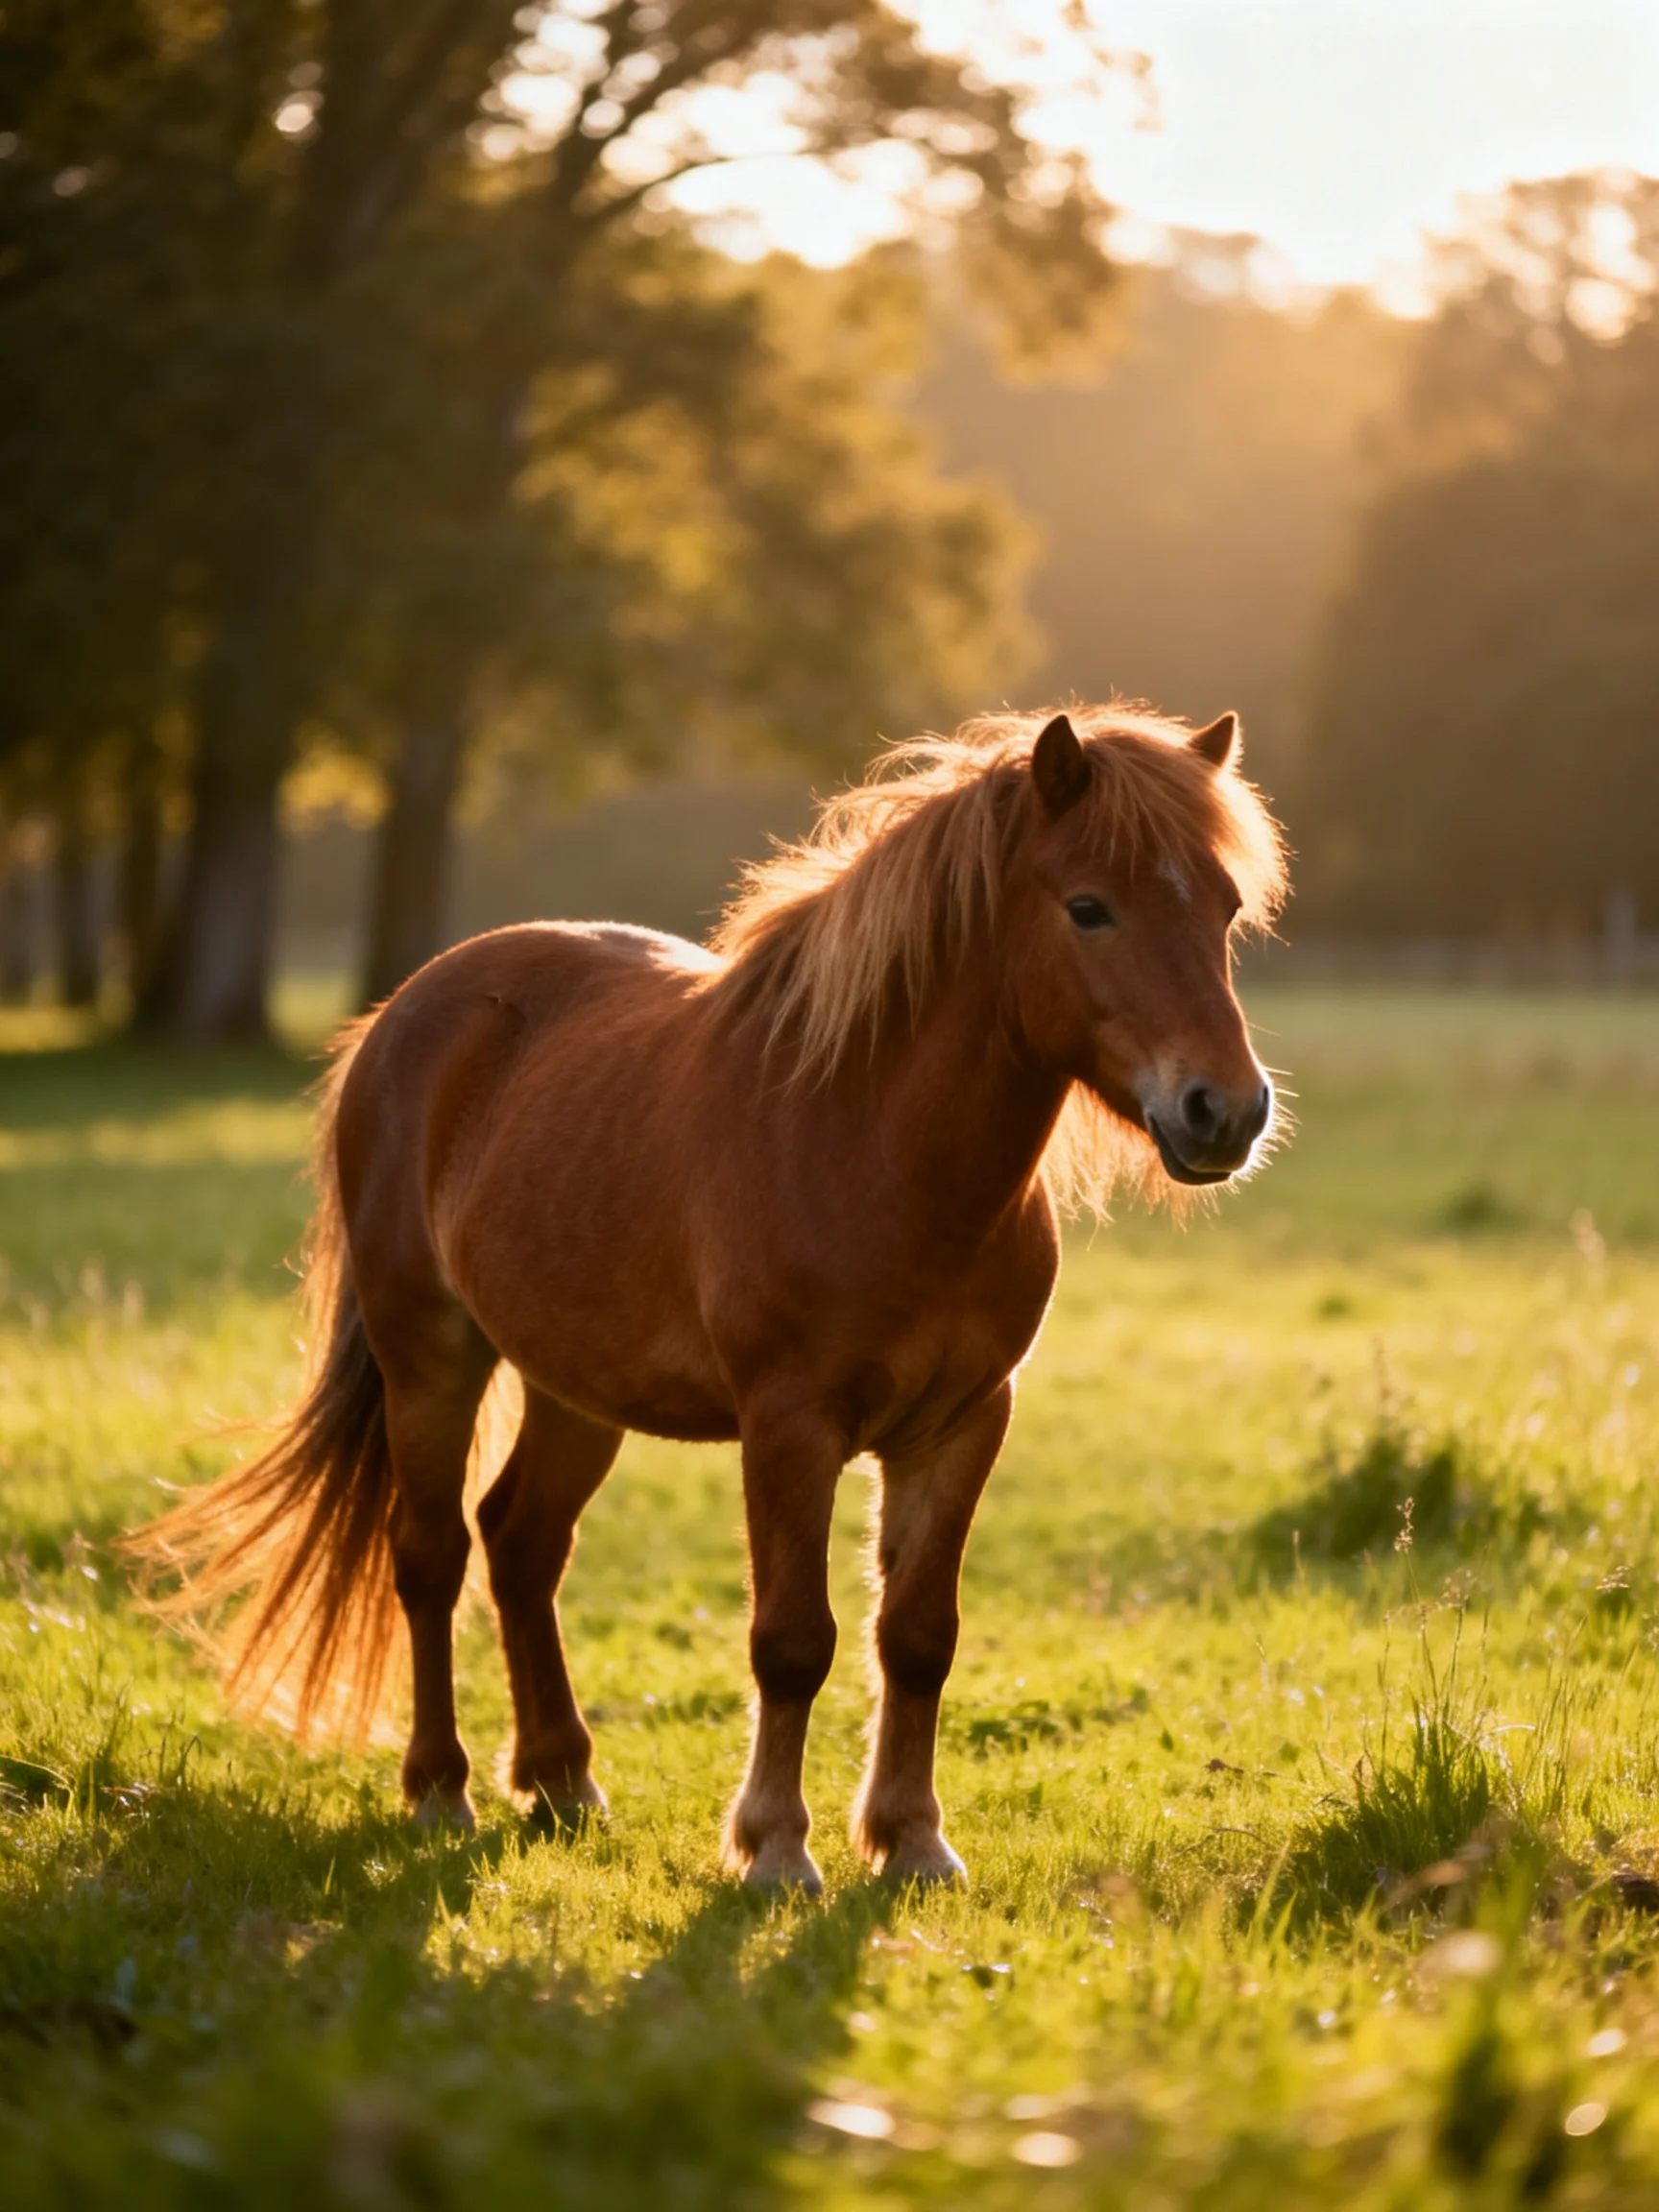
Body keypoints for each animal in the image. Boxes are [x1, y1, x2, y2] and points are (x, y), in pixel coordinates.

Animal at [136, 703, 1287, 1890]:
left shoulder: (963, 1423)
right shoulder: (790, 1426)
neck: (878, 1148)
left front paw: (913, 1841)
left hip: (574, 1389)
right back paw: (441, 1791)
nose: (1227, 1111)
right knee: (430, 1555)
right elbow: (792, 1640)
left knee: (520, 1543)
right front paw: (776, 1846)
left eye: (1227, 907)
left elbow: (919, 1635)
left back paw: (562, 1778)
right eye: (1089, 907)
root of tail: (404, 1015)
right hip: (430, 1361)